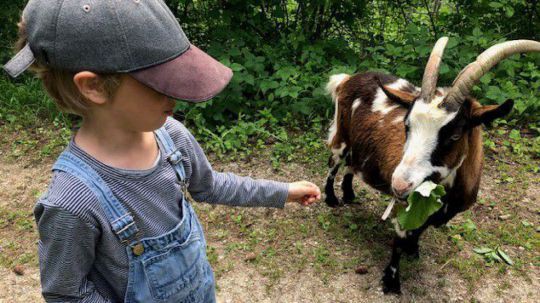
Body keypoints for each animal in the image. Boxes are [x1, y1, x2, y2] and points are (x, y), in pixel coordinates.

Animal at [324, 37, 540, 294]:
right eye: (407, 125)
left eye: (455, 135)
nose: (399, 184)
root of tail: (348, 78)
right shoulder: (404, 205)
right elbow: (399, 240)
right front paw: (391, 282)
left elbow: (418, 230)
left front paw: (413, 250)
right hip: (341, 135)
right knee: (334, 163)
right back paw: (331, 198)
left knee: (351, 165)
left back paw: (349, 194)